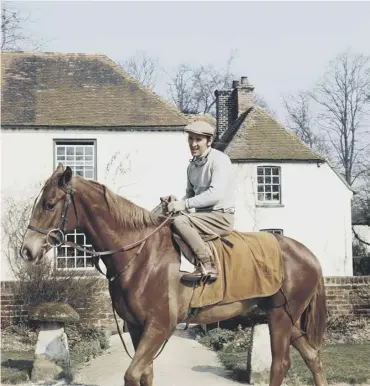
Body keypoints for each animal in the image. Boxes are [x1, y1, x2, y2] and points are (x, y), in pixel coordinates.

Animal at [21, 164, 326, 384]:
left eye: (49, 204)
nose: (27, 250)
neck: (141, 252)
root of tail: (308, 254)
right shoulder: (136, 327)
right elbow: (145, 375)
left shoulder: (159, 326)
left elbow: (132, 374)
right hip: (285, 317)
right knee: (312, 356)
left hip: (280, 316)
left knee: (280, 364)